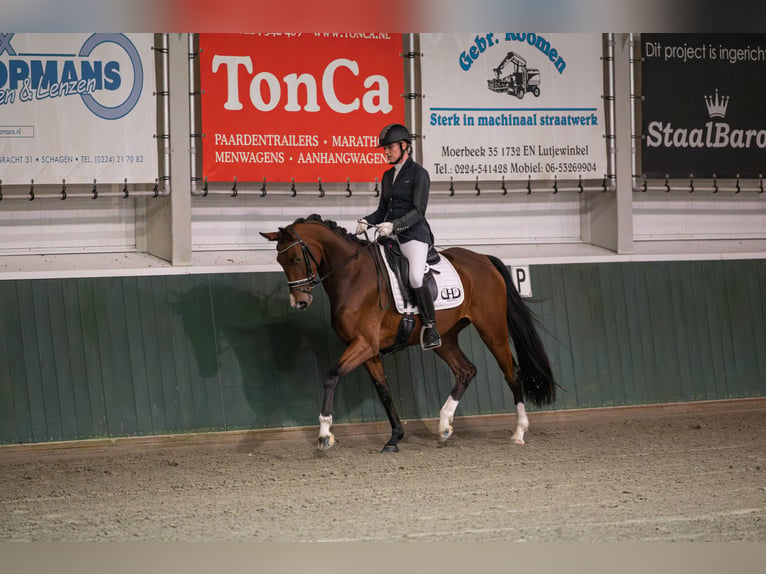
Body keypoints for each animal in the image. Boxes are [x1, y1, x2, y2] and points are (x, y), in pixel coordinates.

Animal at [260, 214, 556, 452]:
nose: (300, 301)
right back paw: (444, 425)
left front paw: (324, 435)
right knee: (466, 370)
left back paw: (519, 432)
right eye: (280, 260)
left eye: (297, 258)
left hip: (492, 329)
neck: (353, 276)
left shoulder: (364, 344)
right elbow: (384, 390)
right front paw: (394, 438)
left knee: (511, 372)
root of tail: (483, 259)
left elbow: (332, 377)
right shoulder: (368, 349)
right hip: (444, 338)